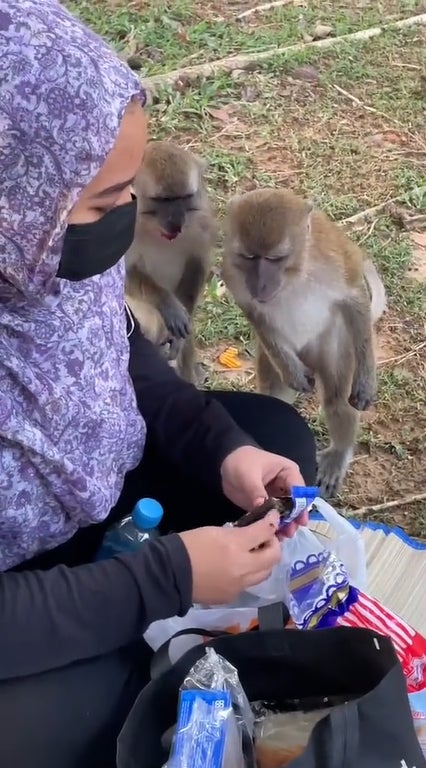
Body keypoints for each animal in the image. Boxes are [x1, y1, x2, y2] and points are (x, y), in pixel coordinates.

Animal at [124, 140, 216, 380]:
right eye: (163, 200)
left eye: (184, 198)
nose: (176, 221)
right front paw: (166, 302)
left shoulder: (201, 221)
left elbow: (198, 263)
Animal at [221, 189, 388, 496]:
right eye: (249, 256)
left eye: (275, 258)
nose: (260, 284)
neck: (295, 272)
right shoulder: (232, 269)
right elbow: (254, 312)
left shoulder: (333, 258)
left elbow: (354, 298)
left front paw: (366, 380)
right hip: (275, 359)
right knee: (275, 394)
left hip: (335, 346)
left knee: (337, 399)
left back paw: (339, 453)